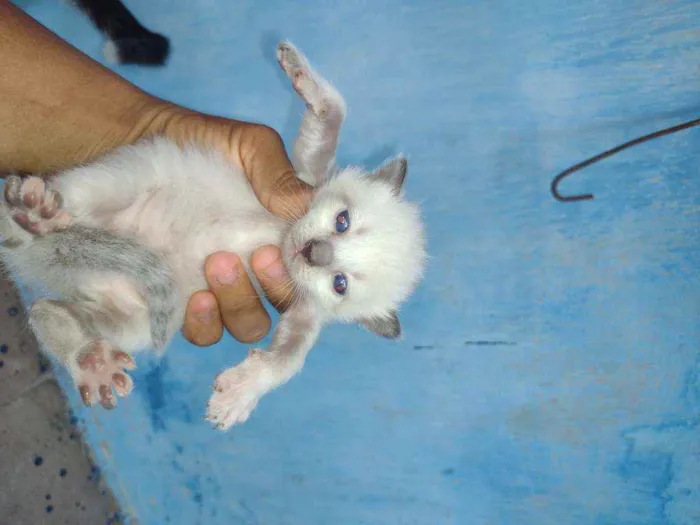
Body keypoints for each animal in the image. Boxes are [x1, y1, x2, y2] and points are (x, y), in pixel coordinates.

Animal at [0, 42, 426, 430]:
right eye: (342, 221)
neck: (283, 233)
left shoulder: (306, 313)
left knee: (45, 310)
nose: (313, 252)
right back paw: (32, 214)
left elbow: (289, 359)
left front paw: (241, 393)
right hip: (124, 179)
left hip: (133, 316)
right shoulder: (302, 180)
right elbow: (329, 124)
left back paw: (91, 361)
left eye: (340, 284)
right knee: (60, 204)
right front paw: (302, 74)